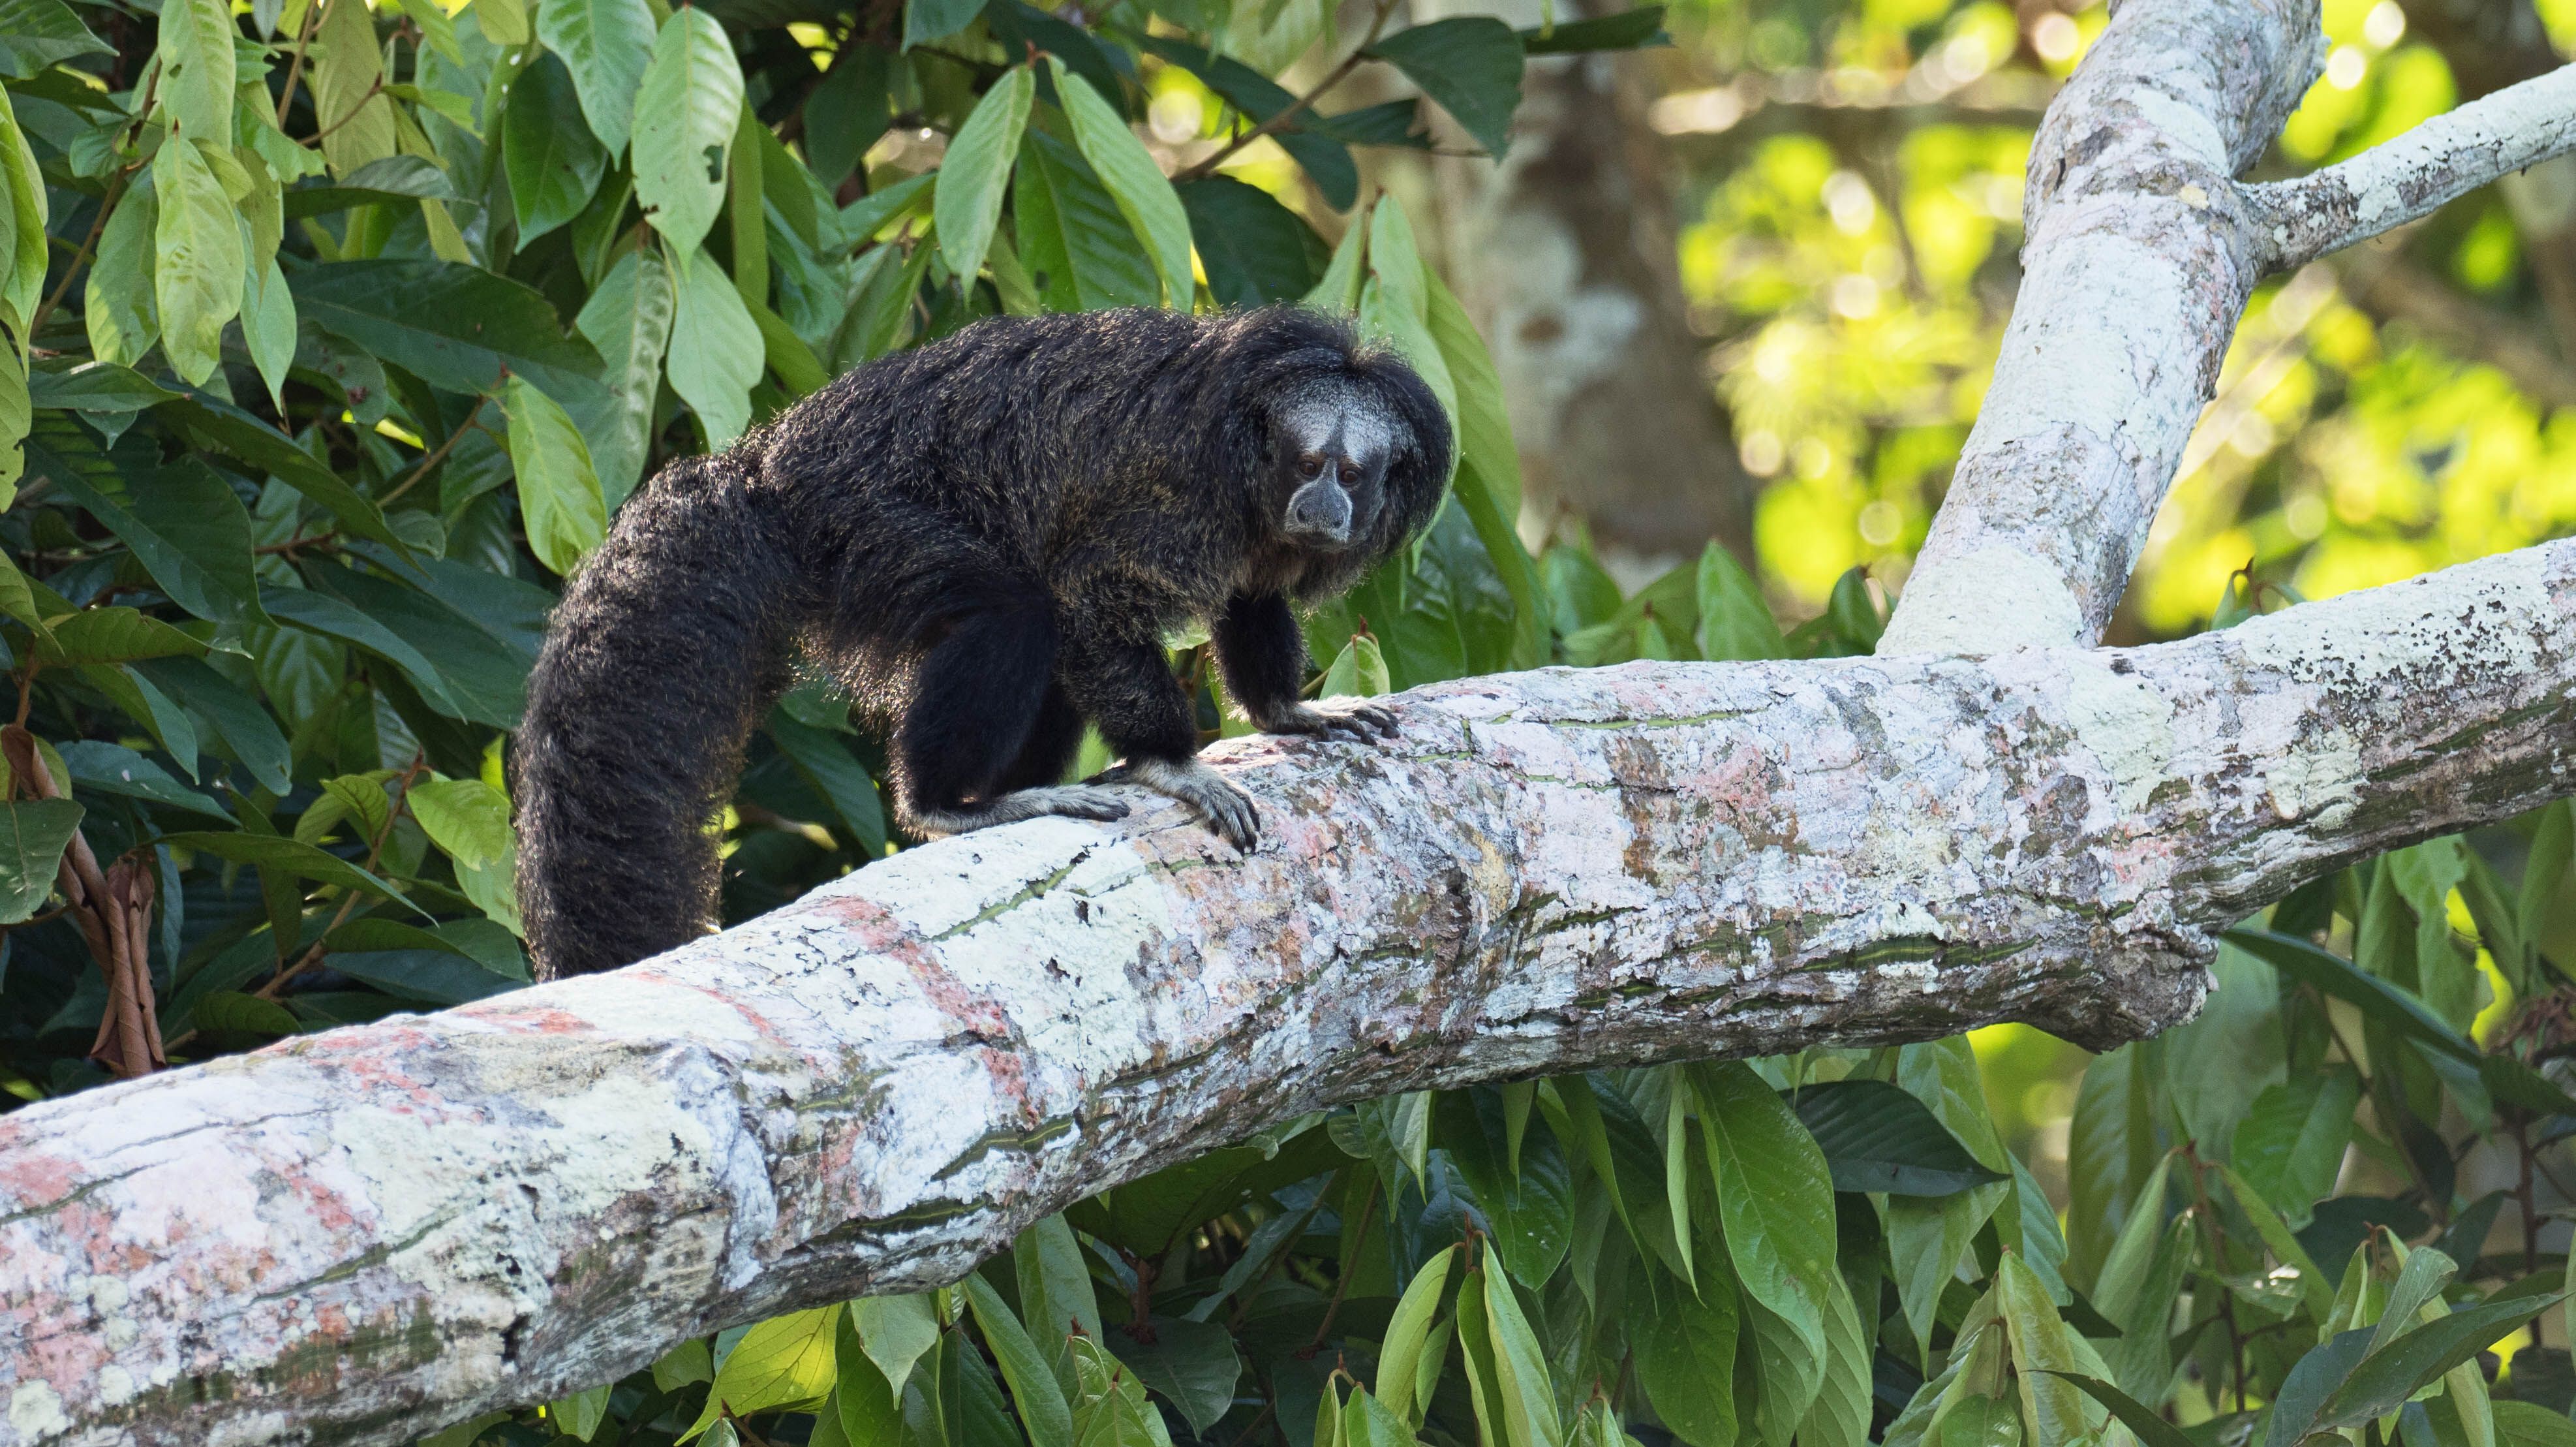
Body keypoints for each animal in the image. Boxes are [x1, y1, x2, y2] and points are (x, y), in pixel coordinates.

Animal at [512, 305, 1453, 980]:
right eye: (1311, 464)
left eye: (1355, 475)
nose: (1323, 507)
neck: (1253, 473)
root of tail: (766, 473)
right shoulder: (1182, 506)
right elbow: (1090, 598)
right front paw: (1173, 763)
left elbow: (1252, 604)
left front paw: (1290, 711)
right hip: (866, 530)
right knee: (1017, 614)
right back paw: (949, 804)